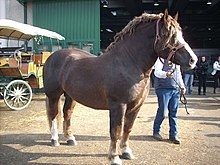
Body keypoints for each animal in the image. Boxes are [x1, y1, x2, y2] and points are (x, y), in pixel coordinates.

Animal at [43, 10, 198, 165]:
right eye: (170, 34)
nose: (193, 60)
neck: (128, 63)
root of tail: (53, 56)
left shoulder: (135, 106)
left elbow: (127, 129)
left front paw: (126, 152)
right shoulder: (118, 105)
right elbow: (116, 131)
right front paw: (114, 157)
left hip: (71, 96)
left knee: (67, 113)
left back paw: (70, 138)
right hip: (54, 95)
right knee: (54, 114)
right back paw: (55, 140)